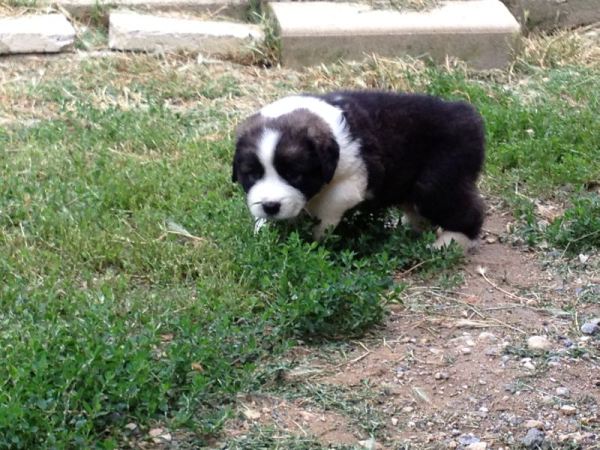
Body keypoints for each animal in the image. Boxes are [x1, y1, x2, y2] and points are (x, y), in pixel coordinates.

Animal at [231, 91, 485, 251]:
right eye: (252, 175)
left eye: (294, 175)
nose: (270, 206)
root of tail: (468, 116)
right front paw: (265, 232)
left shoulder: (352, 180)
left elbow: (327, 207)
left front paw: (316, 237)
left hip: (437, 183)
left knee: (465, 210)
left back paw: (449, 243)